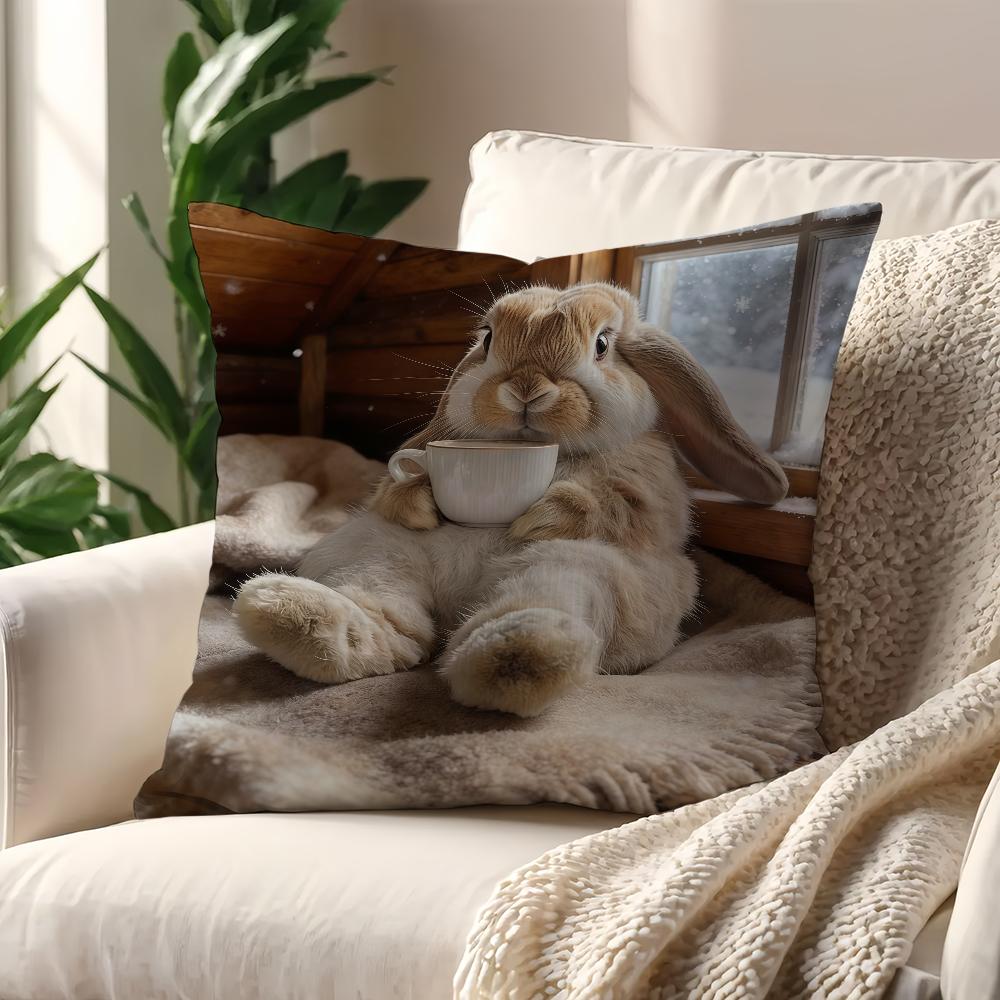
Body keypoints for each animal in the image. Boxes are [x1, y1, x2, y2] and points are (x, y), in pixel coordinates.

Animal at [234, 282, 787, 717]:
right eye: (488, 340)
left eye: (602, 345)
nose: (525, 386)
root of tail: (457, 600)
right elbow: (398, 485)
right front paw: (421, 503)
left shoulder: (646, 481)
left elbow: (613, 503)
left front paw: (534, 519)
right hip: (374, 550)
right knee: (390, 612)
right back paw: (302, 620)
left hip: (585, 571)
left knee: (544, 595)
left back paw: (515, 655)